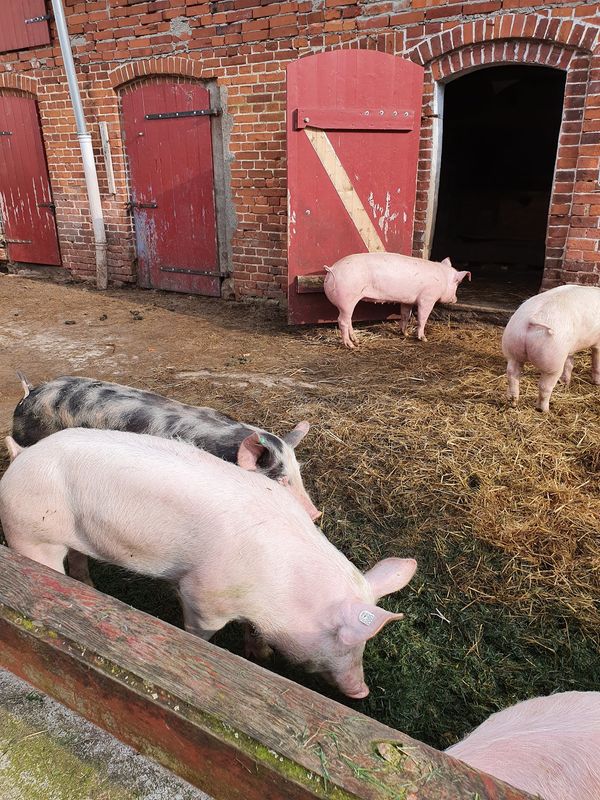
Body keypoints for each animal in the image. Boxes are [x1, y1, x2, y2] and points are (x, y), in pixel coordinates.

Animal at [0, 428, 418, 696]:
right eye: (347, 641)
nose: (361, 691)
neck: (280, 588)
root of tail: (22, 455)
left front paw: (262, 655)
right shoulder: (202, 596)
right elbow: (201, 631)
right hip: (29, 535)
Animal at [326, 253, 472, 346]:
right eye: (458, 283)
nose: (455, 299)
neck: (443, 279)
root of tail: (332, 269)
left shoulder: (407, 301)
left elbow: (405, 315)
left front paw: (405, 334)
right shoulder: (427, 298)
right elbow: (422, 318)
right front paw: (423, 339)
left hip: (349, 302)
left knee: (348, 320)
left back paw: (356, 341)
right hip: (346, 299)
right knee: (342, 321)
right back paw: (350, 345)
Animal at [502, 284, 600, 412]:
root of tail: (532, 320)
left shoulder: (569, 350)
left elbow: (570, 363)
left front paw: (565, 383)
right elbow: (596, 361)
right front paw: (597, 383)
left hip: (513, 347)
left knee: (512, 374)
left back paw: (513, 403)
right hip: (552, 360)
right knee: (544, 387)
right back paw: (544, 410)